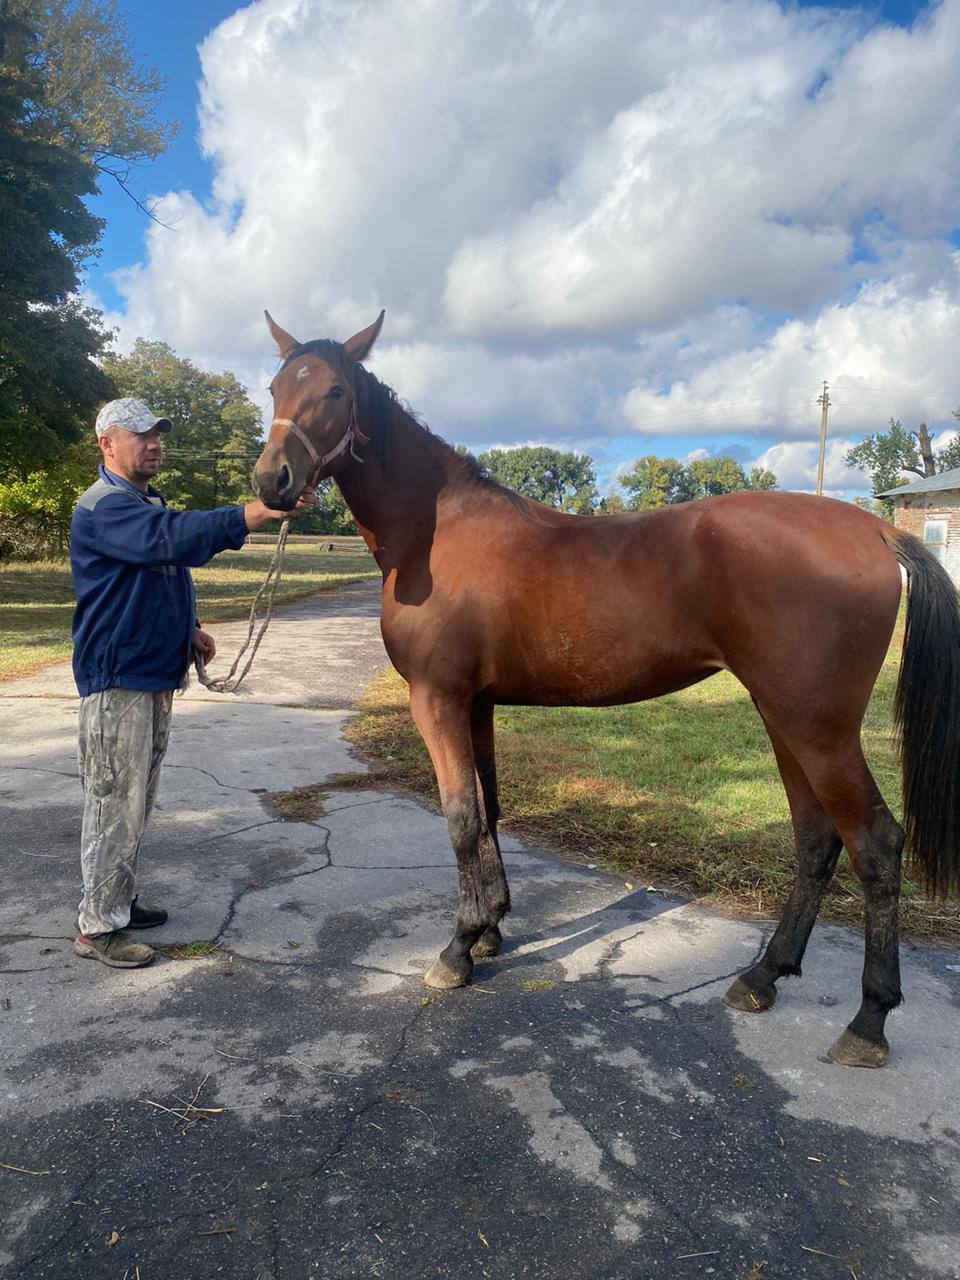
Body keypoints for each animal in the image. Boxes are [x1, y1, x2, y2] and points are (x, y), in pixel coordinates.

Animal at [251, 310, 960, 1069]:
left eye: (333, 391)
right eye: (274, 387)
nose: (272, 481)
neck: (435, 535)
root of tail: (875, 528)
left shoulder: (437, 699)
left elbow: (461, 816)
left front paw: (457, 949)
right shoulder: (477, 703)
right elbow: (490, 808)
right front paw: (492, 928)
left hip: (817, 729)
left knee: (875, 845)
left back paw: (868, 1021)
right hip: (785, 720)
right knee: (816, 841)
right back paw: (763, 977)